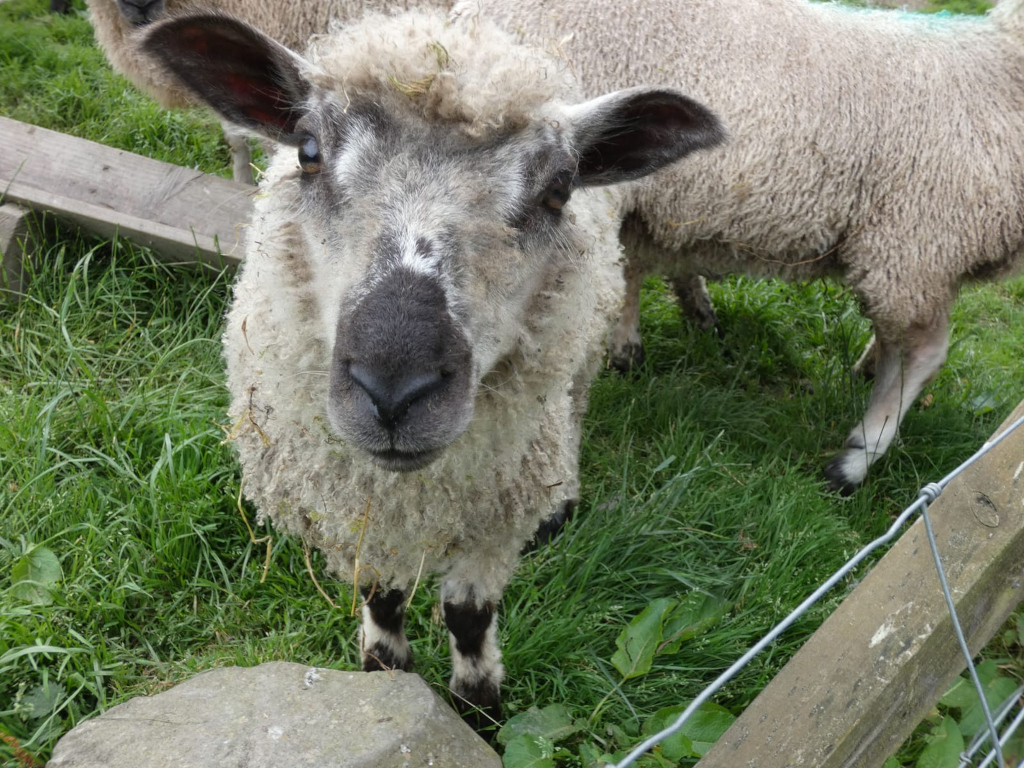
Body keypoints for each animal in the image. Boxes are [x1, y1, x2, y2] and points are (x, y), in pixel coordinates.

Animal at [140, 8, 723, 725]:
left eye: (560, 188)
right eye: (308, 151)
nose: (393, 392)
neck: (410, 494)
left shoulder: (491, 523)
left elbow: (468, 617)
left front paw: (482, 710)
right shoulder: (356, 511)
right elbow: (381, 598)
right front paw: (384, 673)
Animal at [457, 0, 1024, 493]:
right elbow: (636, 266)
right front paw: (653, 332)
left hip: (915, 240)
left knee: (921, 351)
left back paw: (856, 458)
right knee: (902, 343)